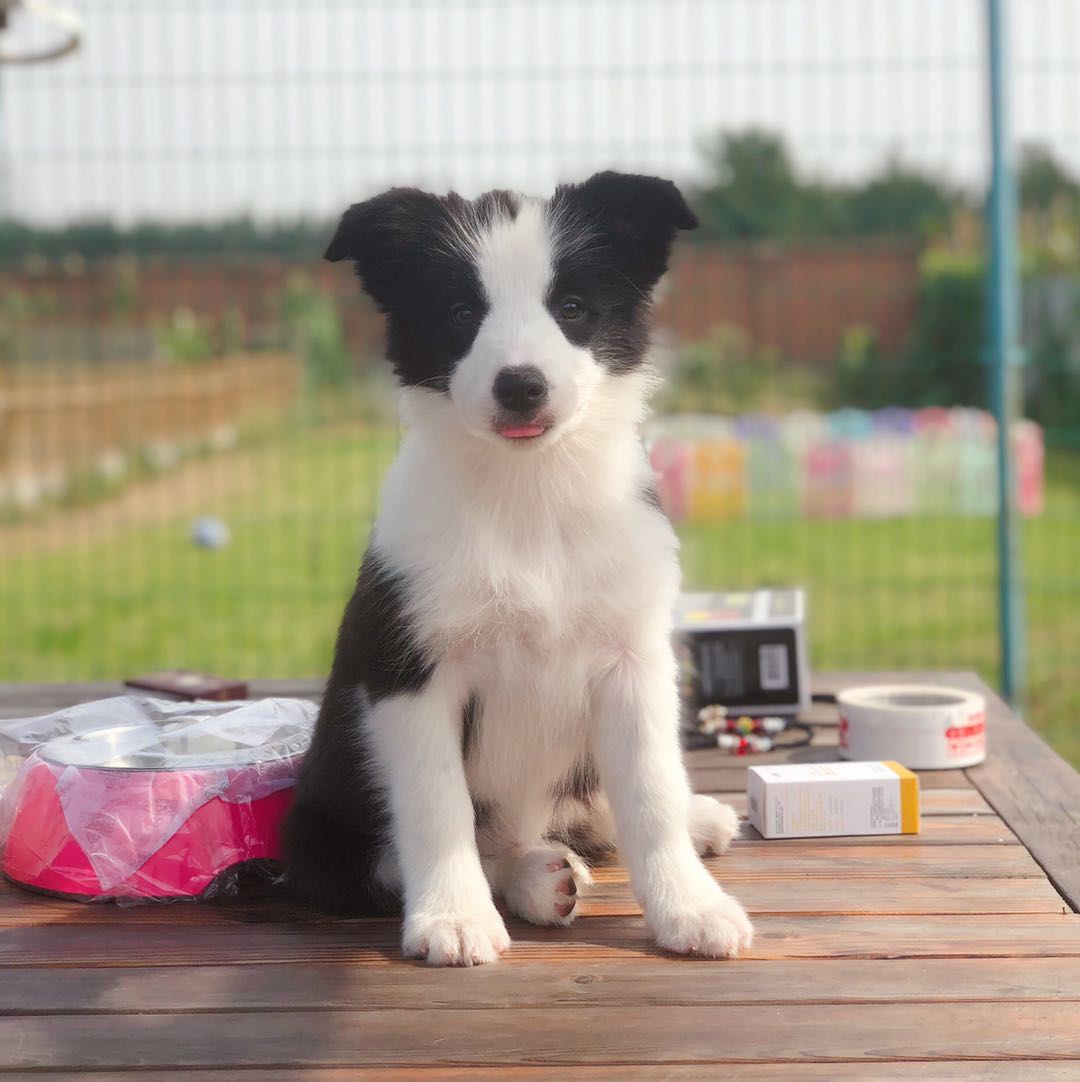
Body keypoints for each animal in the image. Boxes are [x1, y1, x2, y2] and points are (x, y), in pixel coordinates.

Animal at [283, 171, 753, 966]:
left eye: (572, 309)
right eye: (459, 312)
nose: (521, 386)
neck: (527, 493)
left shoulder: (633, 659)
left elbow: (651, 790)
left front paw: (689, 906)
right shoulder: (409, 670)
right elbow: (438, 806)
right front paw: (452, 918)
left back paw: (694, 821)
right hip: (320, 837)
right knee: (439, 851)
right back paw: (536, 878)